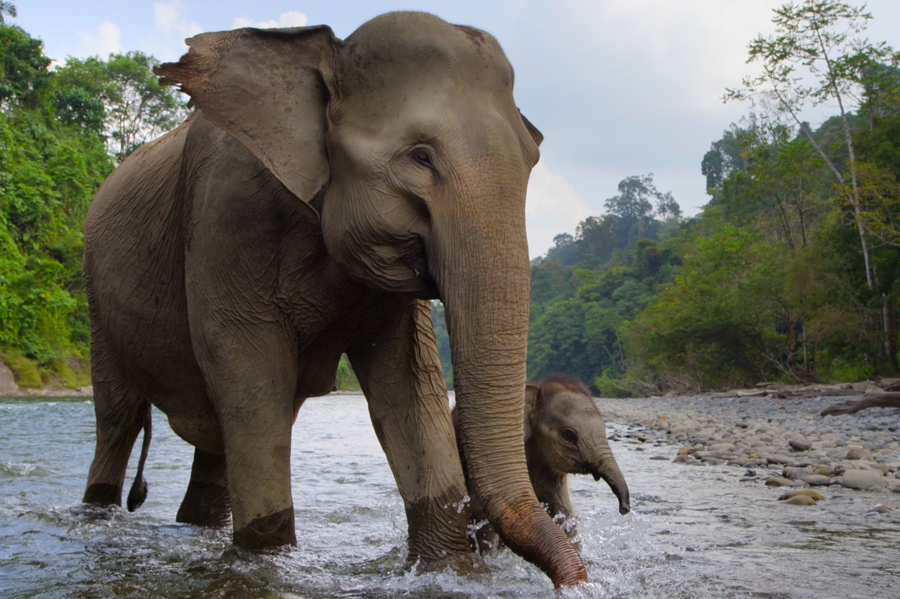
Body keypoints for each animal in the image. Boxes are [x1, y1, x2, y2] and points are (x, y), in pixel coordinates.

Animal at [79, 11, 587, 587]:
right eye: (420, 156)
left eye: (532, 160)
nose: (575, 581)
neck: (325, 55)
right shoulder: (223, 216)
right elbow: (250, 379)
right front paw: (266, 560)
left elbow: (409, 385)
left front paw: (446, 570)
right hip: (96, 297)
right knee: (119, 419)